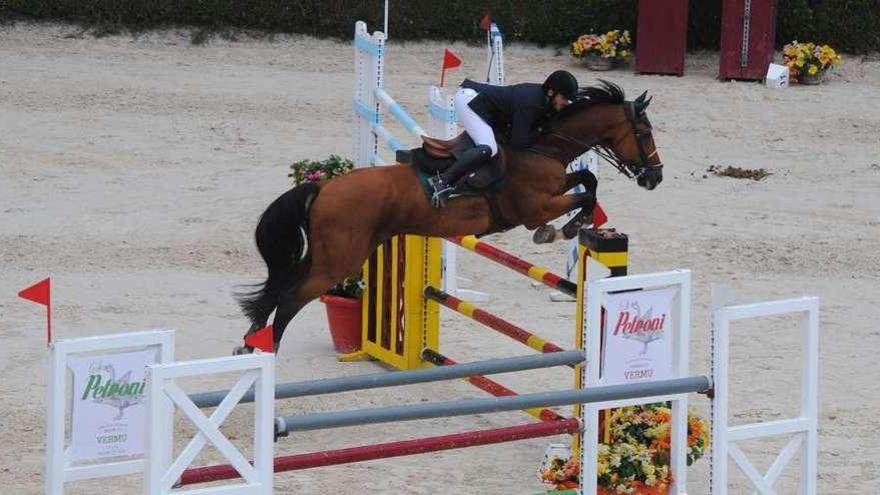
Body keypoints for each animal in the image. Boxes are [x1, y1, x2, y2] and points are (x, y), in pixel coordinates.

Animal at [237, 82, 664, 352]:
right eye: (644, 133)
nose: (655, 178)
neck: (543, 147)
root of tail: (324, 187)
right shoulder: (535, 206)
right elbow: (584, 194)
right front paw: (564, 229)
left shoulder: (556, 187)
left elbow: (588, 181)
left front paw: (574, 224)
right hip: (338, 260)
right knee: (289, 299)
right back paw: (264, 350)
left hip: (327, 254)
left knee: (278, 290)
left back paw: (249, 345)